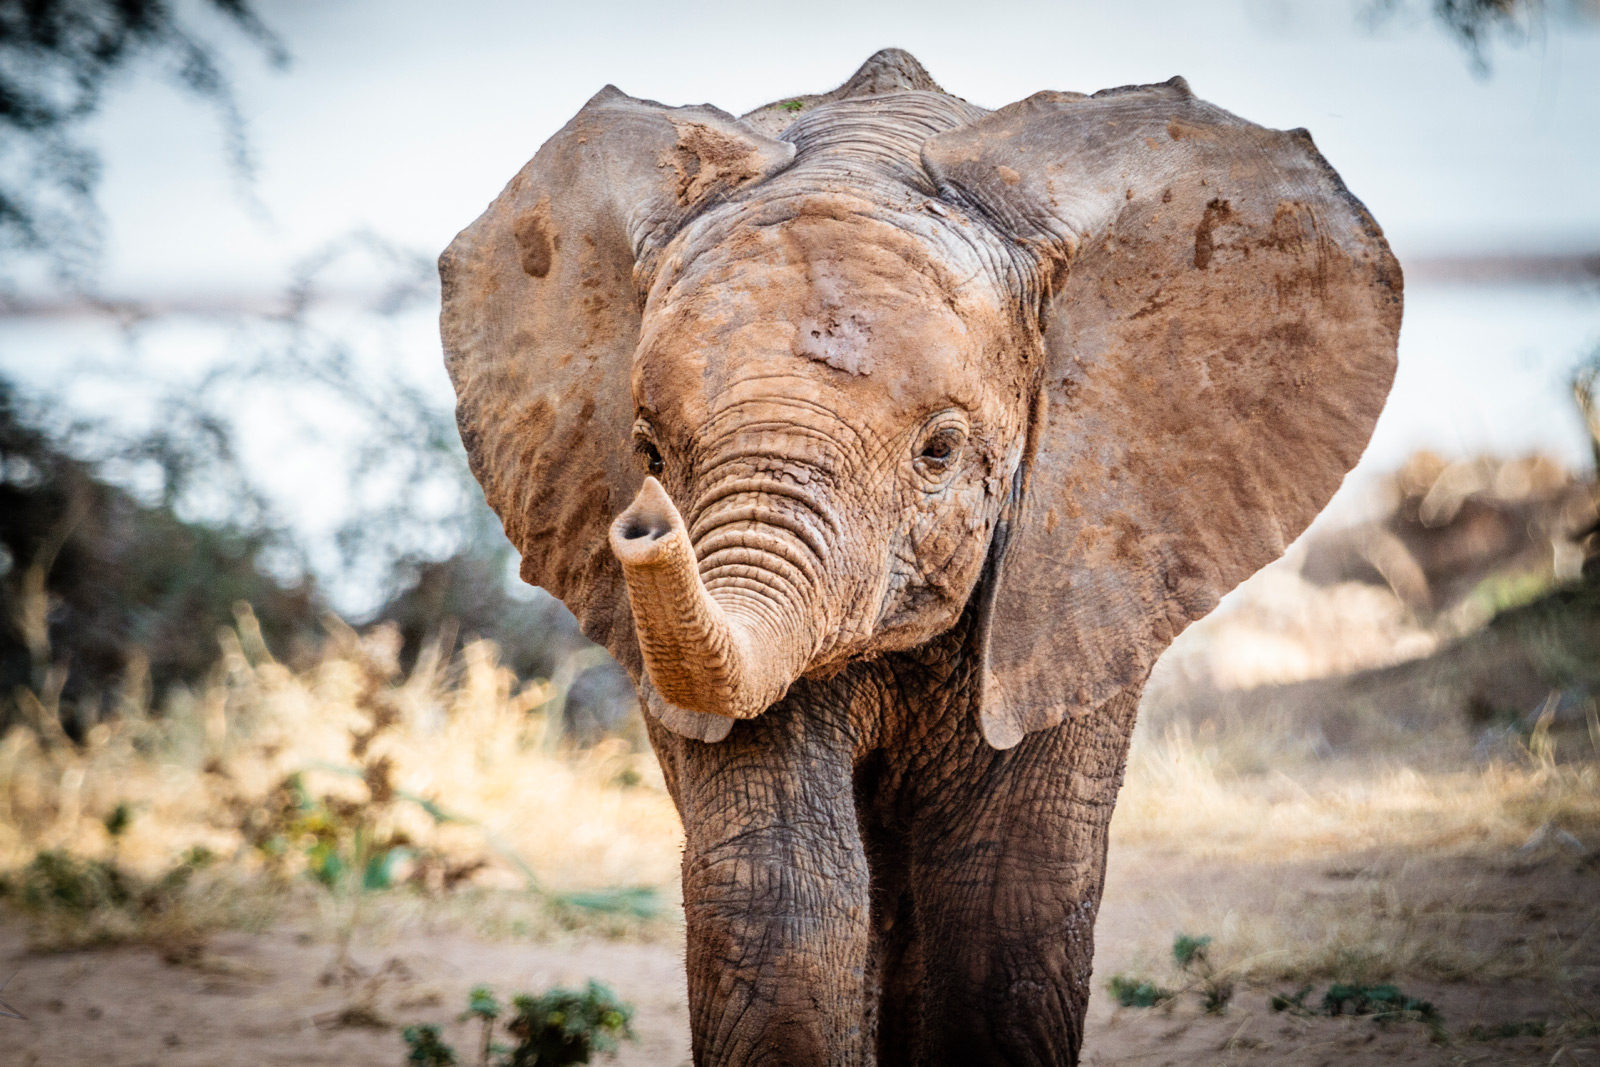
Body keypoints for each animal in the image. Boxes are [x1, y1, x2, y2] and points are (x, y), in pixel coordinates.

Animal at [441, 47, 1401, 1067]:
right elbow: (783, 891)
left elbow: (1005, 900)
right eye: (648, 451)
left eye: (939, 451)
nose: (646, 525)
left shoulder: (1086, 570)